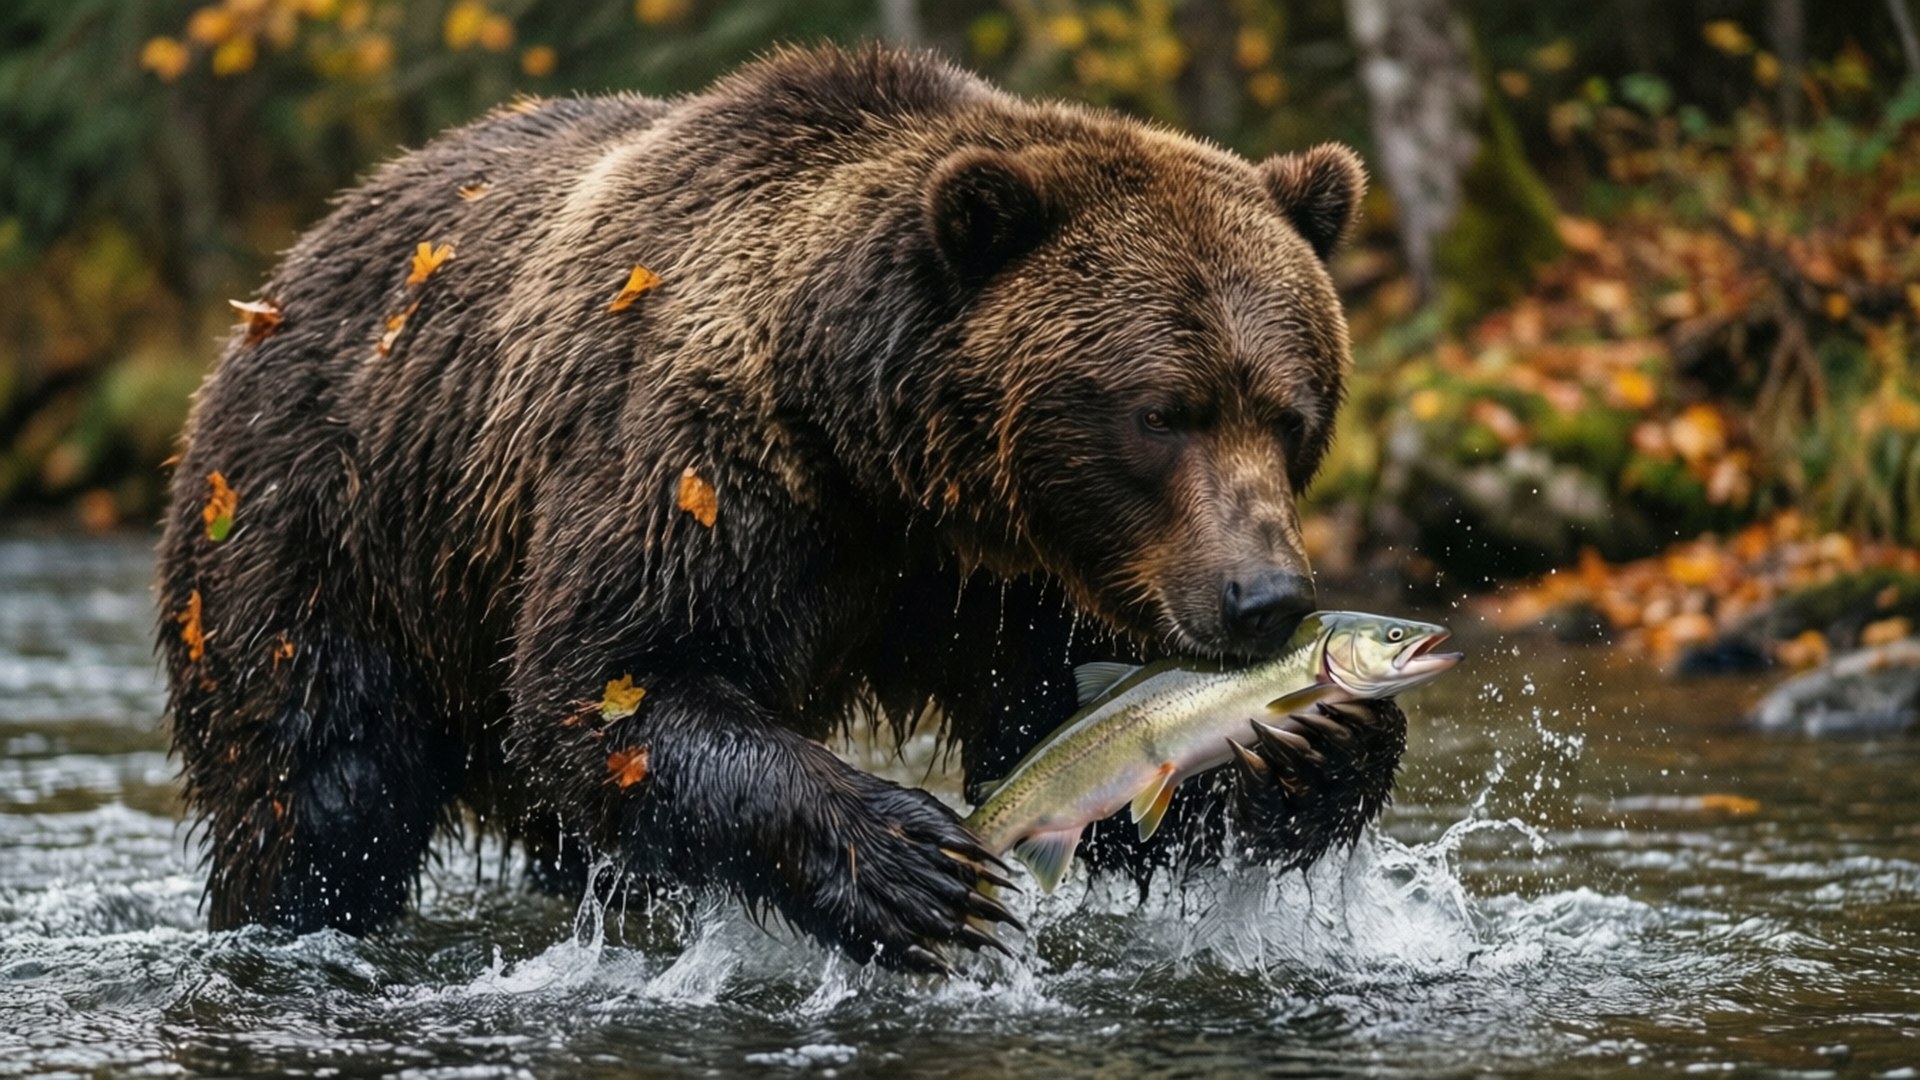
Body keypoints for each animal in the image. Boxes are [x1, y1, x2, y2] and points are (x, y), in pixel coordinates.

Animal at [156, 43, 1404, 973]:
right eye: (1161, 412)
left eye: (1289, 412)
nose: (1264, 597)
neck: (884, 458)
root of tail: (279, 277)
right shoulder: (702, 467)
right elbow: (615, 684)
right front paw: (913, 868)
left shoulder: (1013, 578)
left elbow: (1062, 744)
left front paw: (1323, 741)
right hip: (324, 527)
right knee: (318, 788)